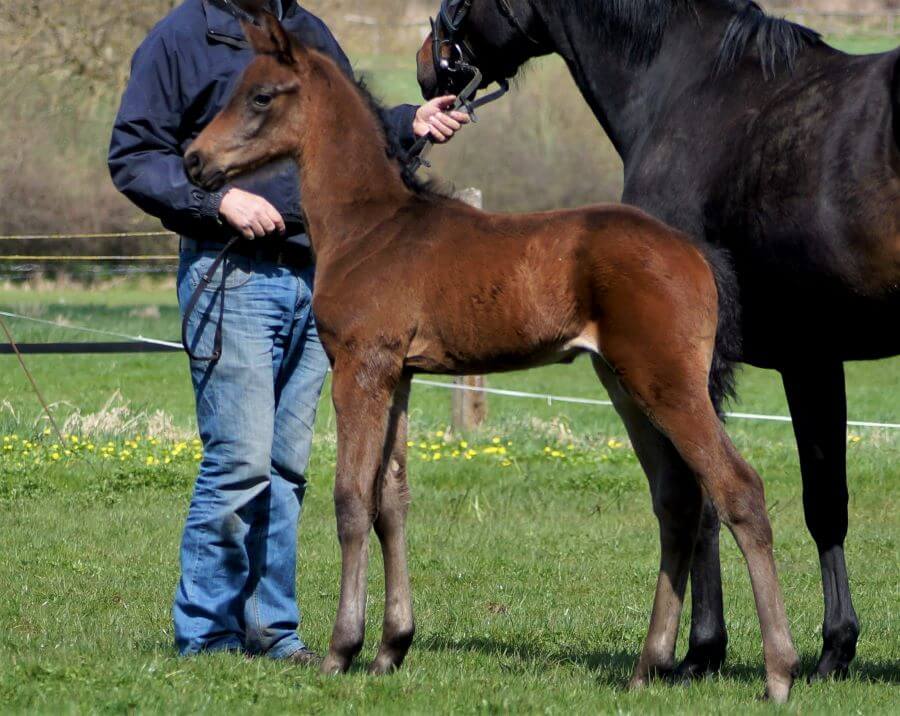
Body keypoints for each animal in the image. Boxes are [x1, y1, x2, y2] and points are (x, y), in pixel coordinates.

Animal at [185, 11, 800, 704]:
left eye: (261, 96)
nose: (194, 160)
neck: (369, 227)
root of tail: (695, 254)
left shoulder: (361, 367)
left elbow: (350, 499)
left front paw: (343, 651)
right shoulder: (399, 375)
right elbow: (391, 499)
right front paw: (391, 649)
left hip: (666, 381)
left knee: (737, 490)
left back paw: (779, 672)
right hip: (624, 382)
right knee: (678, 500)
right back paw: (648, 666)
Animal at [418, 0, 900, 684]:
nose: (425, 65)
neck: (694, 87)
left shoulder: (697, 367)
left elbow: (702, 499)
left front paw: (701, 650)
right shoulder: (812, 357)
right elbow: (824, 502)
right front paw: (835, 648)